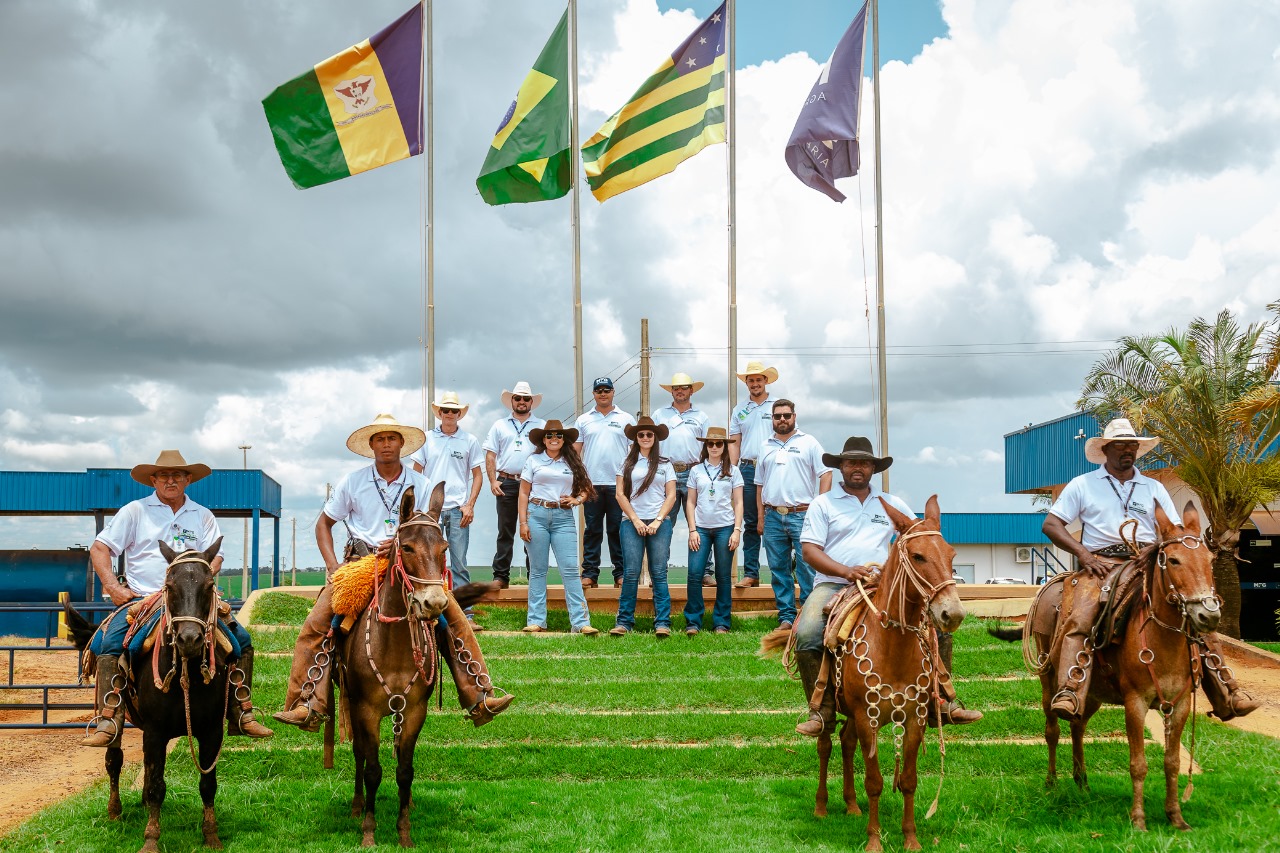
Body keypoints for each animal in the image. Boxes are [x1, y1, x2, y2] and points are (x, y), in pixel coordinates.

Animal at [64, 537, 231, 850]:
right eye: (170, 586)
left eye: (209, 585)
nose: (189, 638)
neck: (186, 674)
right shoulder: (155, 731)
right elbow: (156, 785)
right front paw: (151, 838)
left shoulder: (212, 731)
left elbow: (208, 784)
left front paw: (211, 835)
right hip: (115, 719)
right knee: (114, 760)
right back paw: (115, 811)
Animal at [993, 502, 1213, 824]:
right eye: (1173, 560)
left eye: (1211, 559)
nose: (1209, 614)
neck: (1163, 641)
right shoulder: (1135, 702)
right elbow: (1138, 763)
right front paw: (1138, 819)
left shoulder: (1180, 703)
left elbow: (1172, 761)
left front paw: (1175, 816)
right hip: (1049, 680)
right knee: (1052, 730)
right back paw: (1052, 782)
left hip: (1093, 692)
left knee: (1077, 725)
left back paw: (1081, 781)